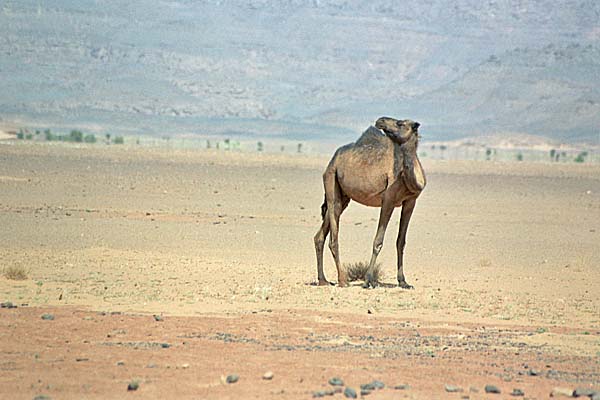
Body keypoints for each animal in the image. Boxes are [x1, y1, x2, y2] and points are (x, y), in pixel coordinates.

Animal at [314, 115, 426, 288]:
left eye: (400, 123)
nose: (381, 120)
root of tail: (332, 160)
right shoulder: (388, 200)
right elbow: (378, 241)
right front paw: (367, 281)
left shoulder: (410, 201)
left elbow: (401, 241)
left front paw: (404, 282)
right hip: (331, 179)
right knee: (333, 237)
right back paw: (342, 280)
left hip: (343, 196)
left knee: (320, 236)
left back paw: (323, 280)